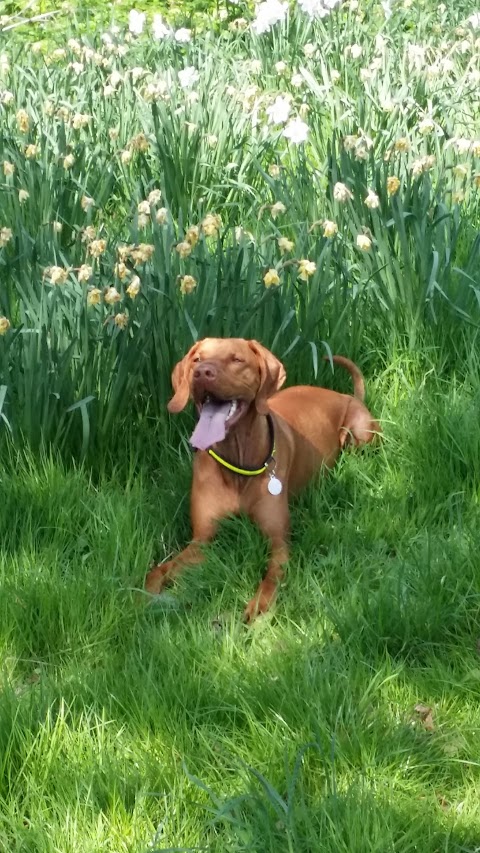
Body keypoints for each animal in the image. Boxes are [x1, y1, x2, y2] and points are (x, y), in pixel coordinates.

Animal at [144, 336, 380, 624]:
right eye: (197, 359)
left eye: (236, 359)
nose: (201, 372)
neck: (237, 462)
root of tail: (346, 395)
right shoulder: (202, 540)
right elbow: (158, 571)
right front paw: (142, 597)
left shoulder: (279, 543)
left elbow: (271, 577)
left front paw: (259, 605)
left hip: (361, 434)